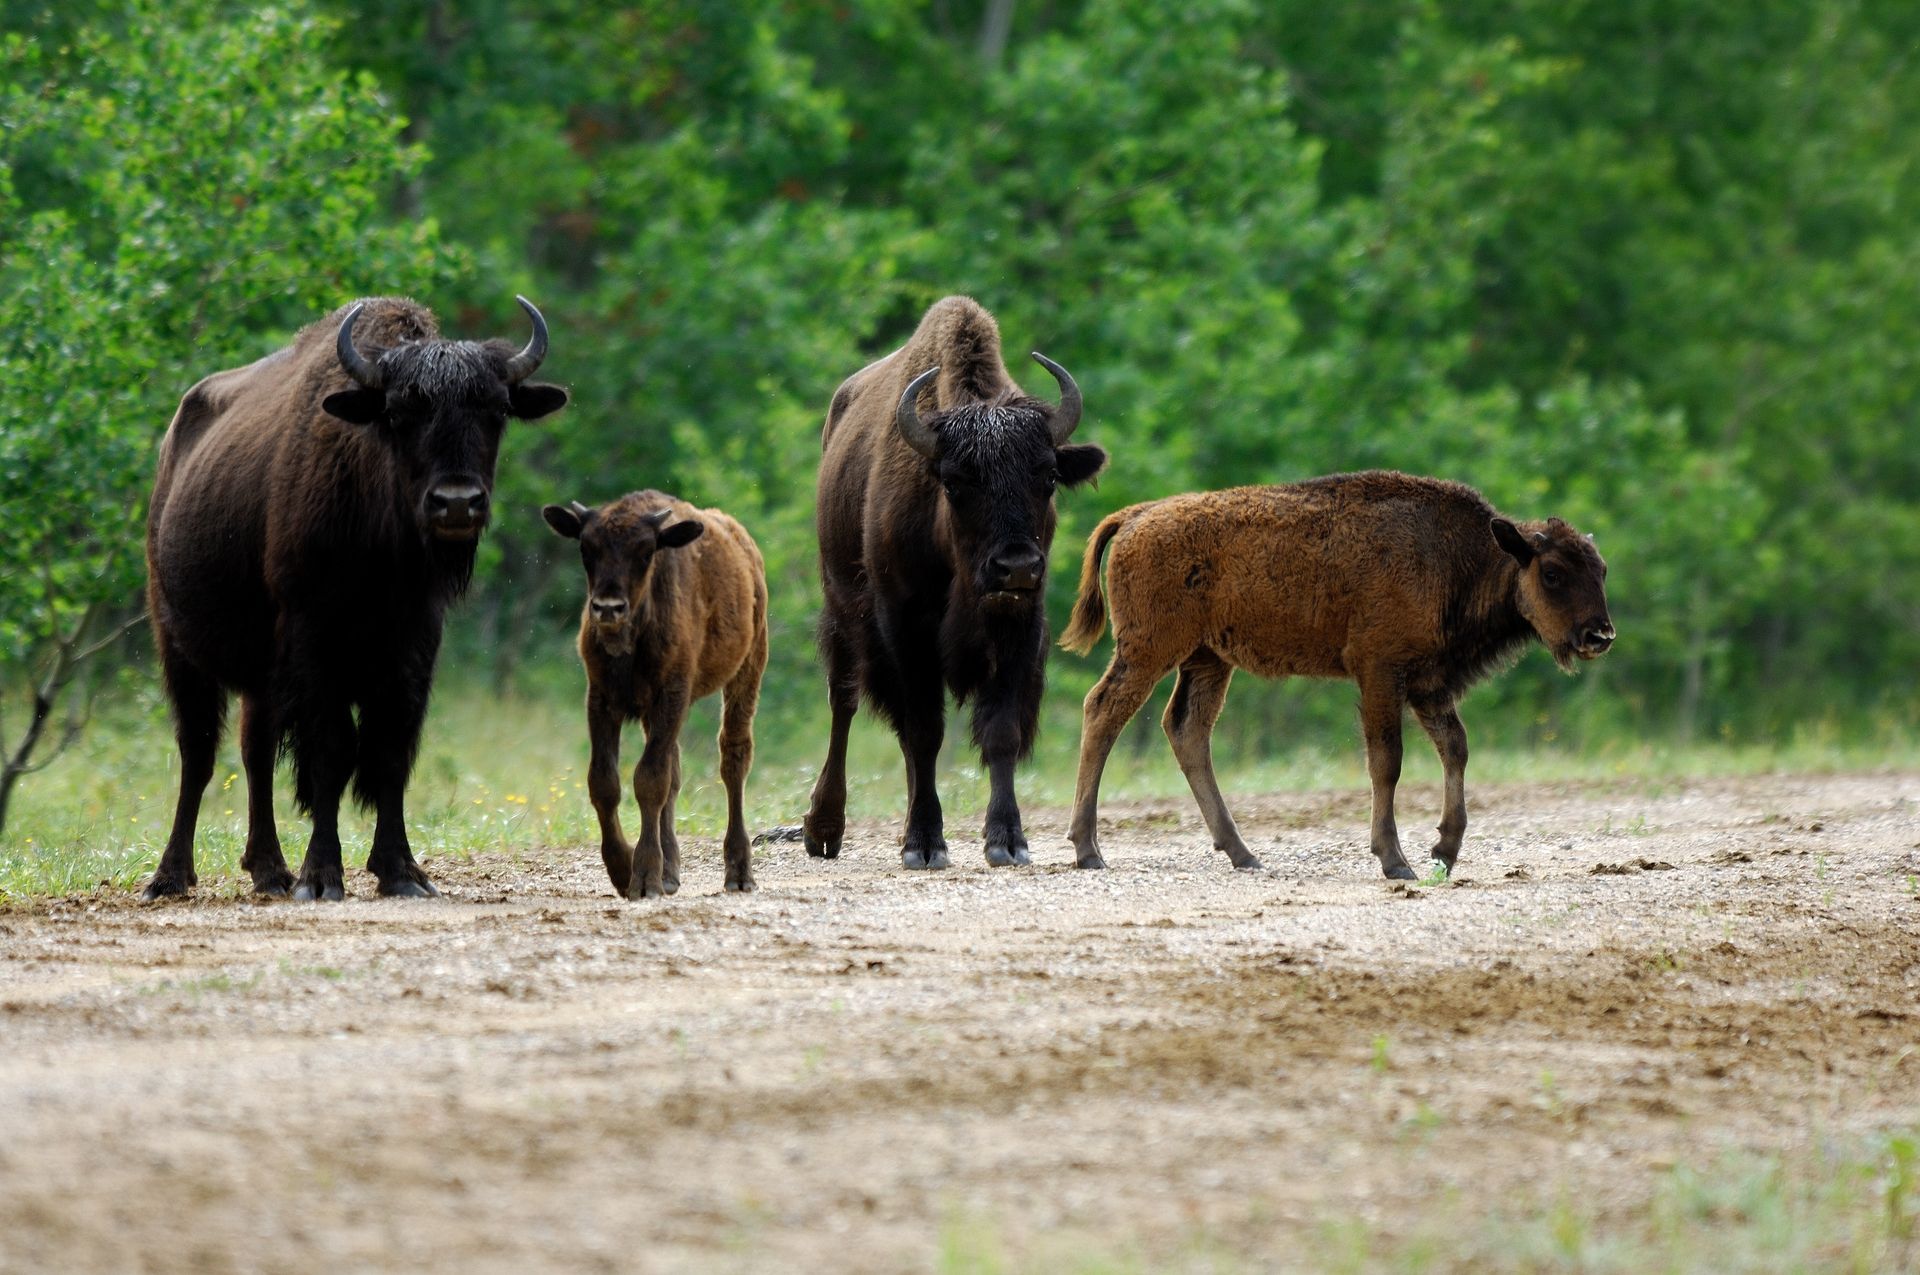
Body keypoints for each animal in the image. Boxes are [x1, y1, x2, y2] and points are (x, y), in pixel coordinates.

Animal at [141, 295, 568, 902]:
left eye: (496, 410)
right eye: (399, 412)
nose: (456, 503)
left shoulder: (414, 645)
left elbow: (390, 749)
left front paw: (402, 872)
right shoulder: (313, 641)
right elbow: (333, 750)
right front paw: (321, 877)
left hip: (259, 677)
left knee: (254, 752)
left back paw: (270, 871)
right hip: (179, 645)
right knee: (198, 752)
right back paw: (171, 877)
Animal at [542, 491, 768, 899]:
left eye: (646, 551)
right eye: (586, 547)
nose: (608, 608)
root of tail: (746, 548)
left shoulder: (670, 695)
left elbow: (650, 779)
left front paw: (645, 877)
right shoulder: (602, 699)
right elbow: (605, 782)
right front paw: (622, 870)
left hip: (749, 668)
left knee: (734, 758)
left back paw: (739, 873)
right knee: (675, 773)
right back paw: (671, 871)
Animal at [802, 296, 1108, 869]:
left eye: (1047, 476)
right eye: (955, 481)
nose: (1016, 566)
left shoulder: (1020, 626)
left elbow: (1000, 732)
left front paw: (1007, 841)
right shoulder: (905, 629)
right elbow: (924, 731)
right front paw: (924, 844)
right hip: (841, 611)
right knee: (844, 704)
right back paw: (824, 830)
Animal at [1059, 470, 1614, 879]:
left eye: (1602, 570)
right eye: (1552, 573)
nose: (1600, 635)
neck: (1467, 557)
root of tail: (1137, 515)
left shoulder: (1429, 684)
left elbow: (1455, 748)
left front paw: (1445, 851)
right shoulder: (1381, 672)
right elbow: (1387, 761)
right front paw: (1396, 861)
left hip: (1208, 660)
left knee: (1187, 729)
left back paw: (1243, 853)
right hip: (1150, 651)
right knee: (1104, 710)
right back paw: (1089, 850)